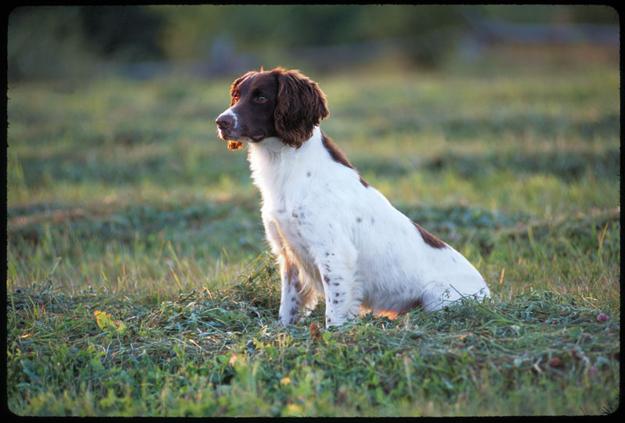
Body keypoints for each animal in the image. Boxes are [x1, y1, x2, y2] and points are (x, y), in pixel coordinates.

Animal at [217, 68, 490, 330]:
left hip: (437, 297)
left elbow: (335, 311)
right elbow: (289, 307)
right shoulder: (289, 255)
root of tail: (487, 294)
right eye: (236, 96)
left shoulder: (335, 254)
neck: (288, 166)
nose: (221, 122)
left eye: (261, 98)